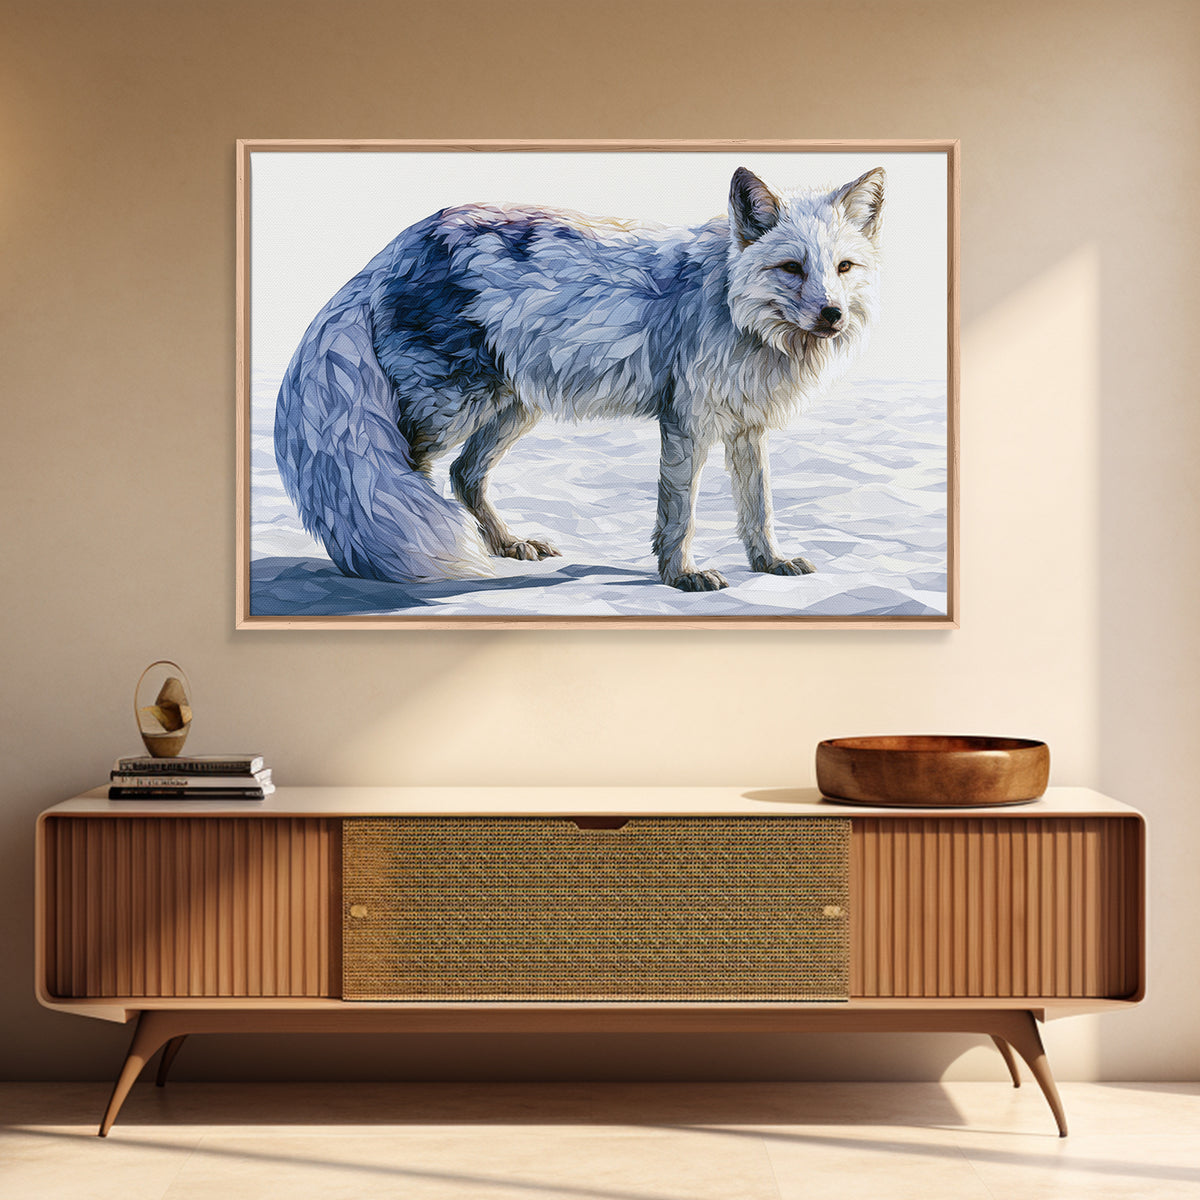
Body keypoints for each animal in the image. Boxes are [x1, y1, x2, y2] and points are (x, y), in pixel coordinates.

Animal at [275, 165, 884, 591]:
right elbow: (680, 515)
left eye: (843, 268)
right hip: (449, 407)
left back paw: (503, 544)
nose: (832, 314)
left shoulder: (746, 427)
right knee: (407, 473)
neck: (734, 309)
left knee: (464, 476)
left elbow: (758, 507)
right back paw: (402, 557)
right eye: (792, 268)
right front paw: (680, 576)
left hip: (513, 408)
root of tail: (397, 245)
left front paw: (769, 562)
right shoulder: (684, 423)